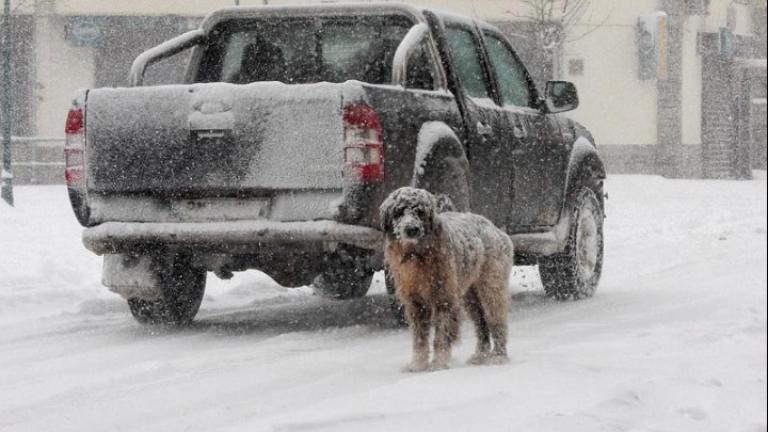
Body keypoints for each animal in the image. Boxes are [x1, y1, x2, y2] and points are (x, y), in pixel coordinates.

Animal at [380, 186, 512, 372]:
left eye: (420, 212)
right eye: (398, 212)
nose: (411, 229)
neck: (417, 255)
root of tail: (495, 228)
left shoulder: (443, 298)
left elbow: (441, 335)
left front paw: (439, 363)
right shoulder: (415, 303)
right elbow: (420, 338)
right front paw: (418, 364)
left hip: (491, 288)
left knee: (496, 321)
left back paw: (499, 356)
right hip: (470, 297)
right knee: (481, 324)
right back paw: (481, 355)